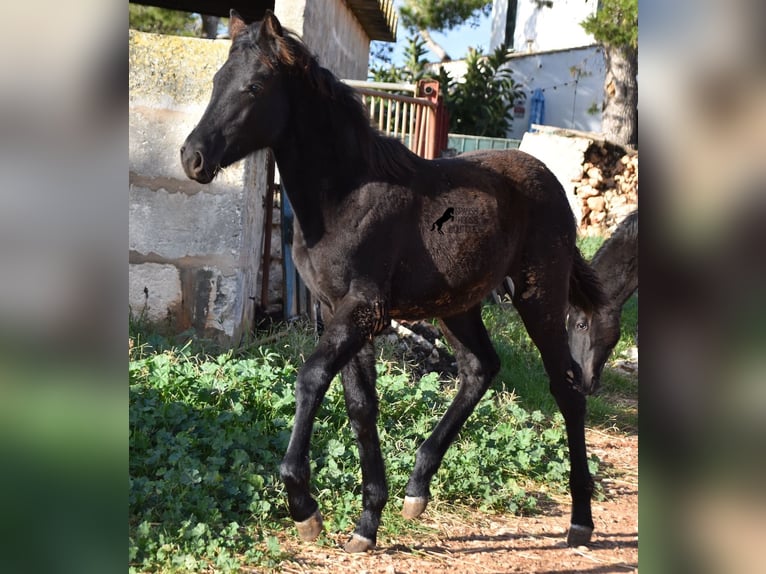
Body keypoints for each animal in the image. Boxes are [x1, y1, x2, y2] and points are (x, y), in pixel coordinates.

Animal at [180, 9, 608, 556]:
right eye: (217, 81)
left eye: (254, 86)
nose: (192, 158)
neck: (344, 196)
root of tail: (551, 181)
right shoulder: (337, 310)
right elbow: (361, 405)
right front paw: (367, 522)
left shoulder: (362, 308)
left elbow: (311, 377)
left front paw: (305, 509)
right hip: (458, 305)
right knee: (481, 368)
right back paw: (417, 489)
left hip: (539, 296)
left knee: (566, 386)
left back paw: (581, 522)